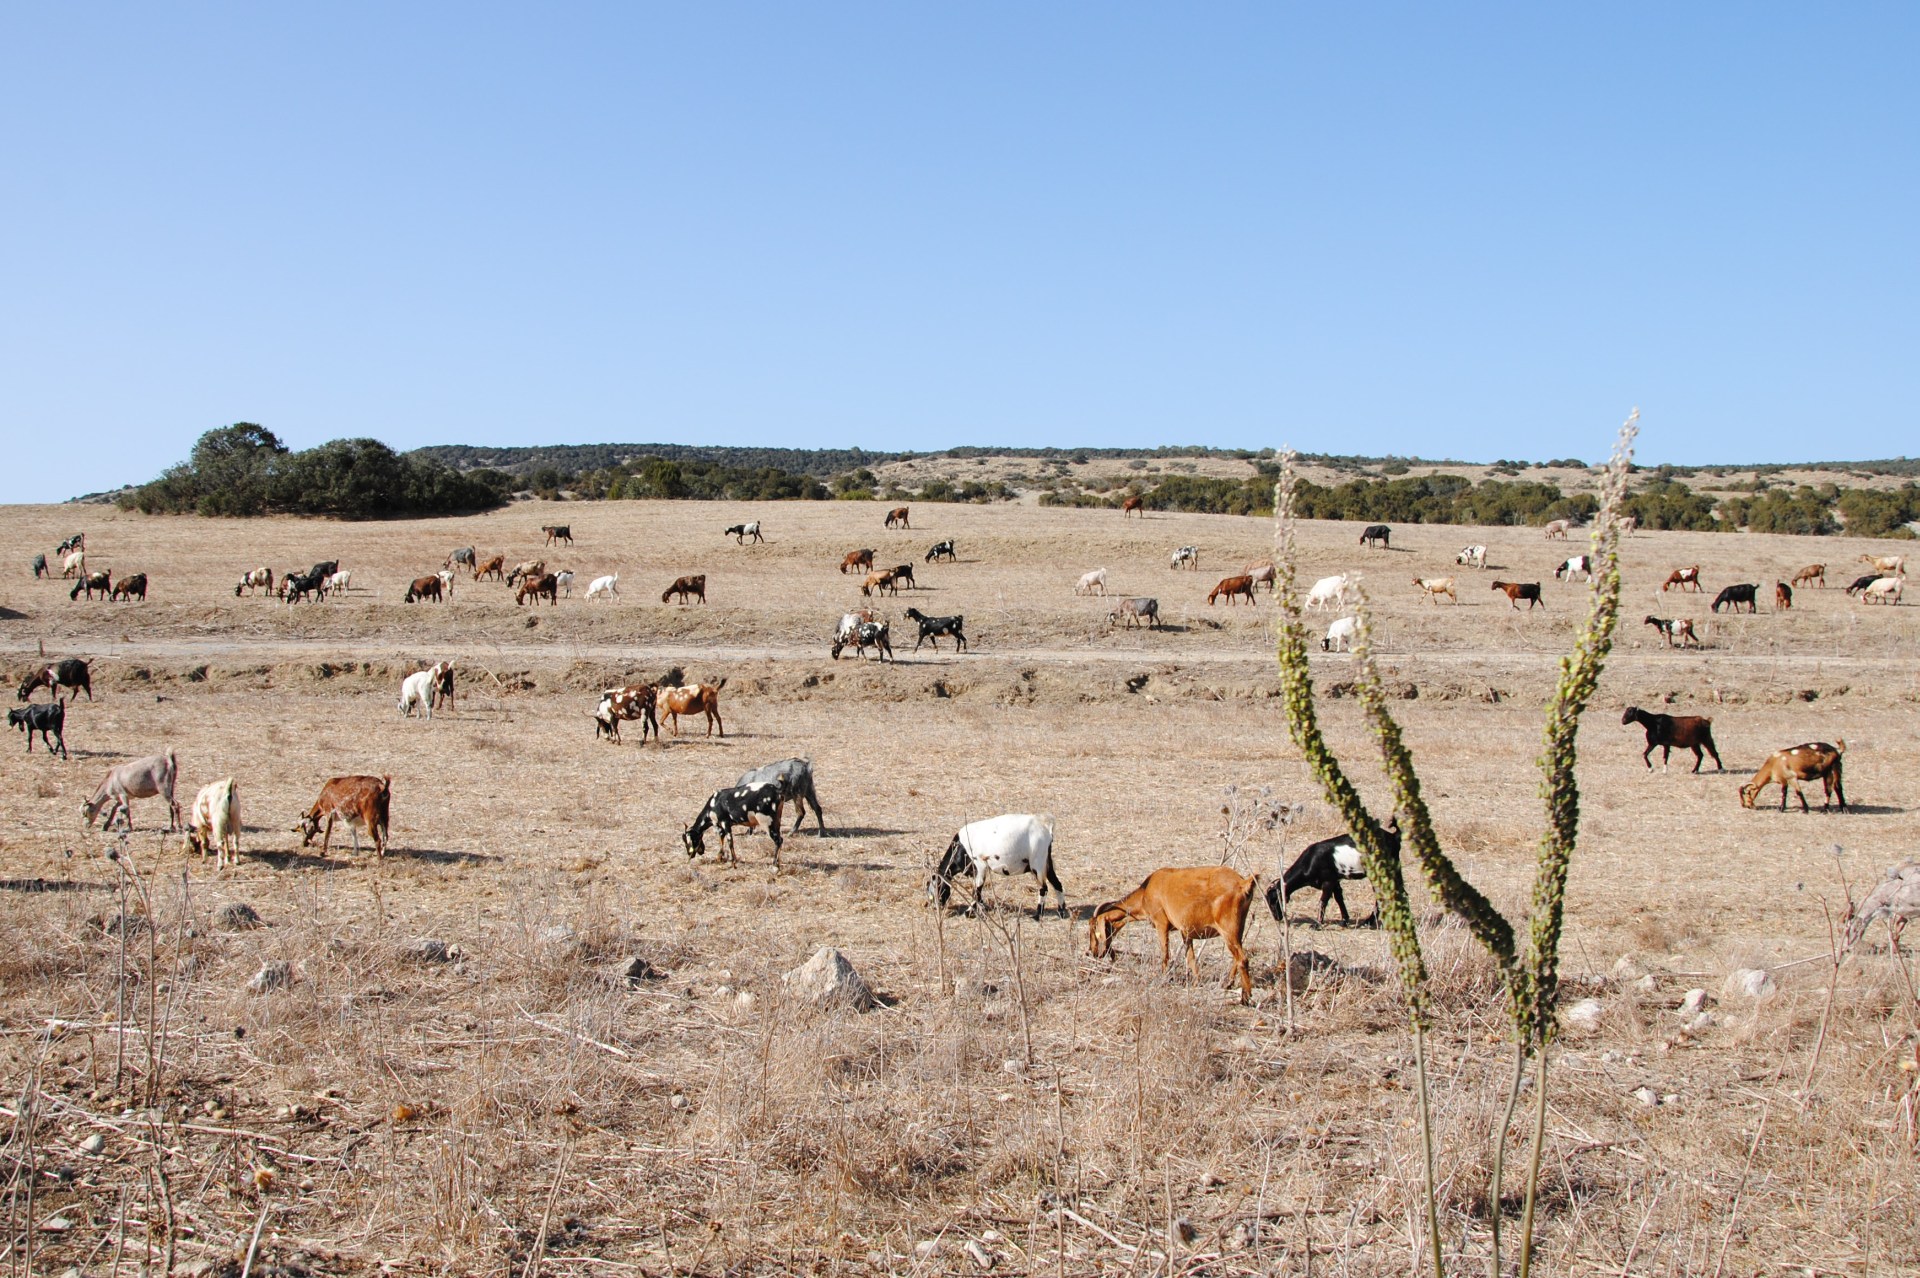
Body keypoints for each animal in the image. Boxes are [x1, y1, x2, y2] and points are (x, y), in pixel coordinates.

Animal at [1090, 867, 1267, 1005]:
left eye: (1093, 929)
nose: (1092, 952)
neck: (1146, 891)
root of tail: (1243, 884)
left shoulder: (1161, 923)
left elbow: (1165, 953)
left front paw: (1162, 979)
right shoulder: (1185, 932)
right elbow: (1190, 957)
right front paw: (1196, 982)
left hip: (1228, 929)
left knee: (1242, 959)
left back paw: (1246, 998)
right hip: (1238, 928)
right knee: (1238, 957)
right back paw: (1228, 985)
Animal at [1259, 817, 1397, 924]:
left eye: (1273, 901)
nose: (1277, 918)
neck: (1309, 862)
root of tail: (1392, 837)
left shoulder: (1328, 882)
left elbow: (1323, 901)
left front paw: (1317, 924)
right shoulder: (1334, 881)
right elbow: (1339, 898)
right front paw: (1344, 920)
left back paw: (1369, 921)